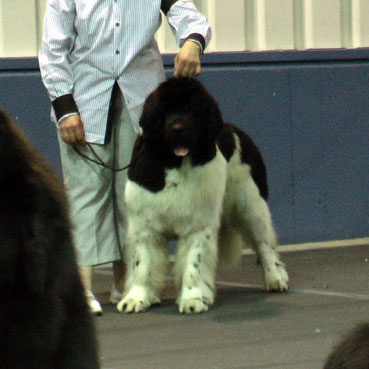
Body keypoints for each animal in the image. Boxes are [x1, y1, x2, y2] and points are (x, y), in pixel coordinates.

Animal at [115, 77, 288, 314]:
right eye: (164, 111)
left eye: (191, 109)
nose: (178, 129)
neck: (174, 163)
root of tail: (234, 129)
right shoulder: (144, 224)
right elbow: (142, 264)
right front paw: (136, 298)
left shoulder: (199, 223)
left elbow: (193, 263)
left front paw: (192, 299)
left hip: (252, 204)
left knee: (264, 243)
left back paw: (275, 278)